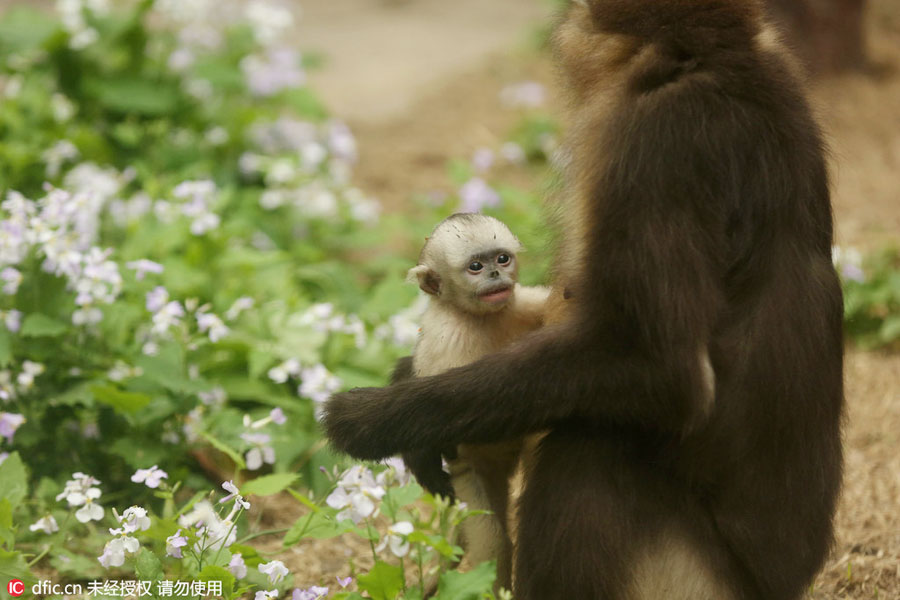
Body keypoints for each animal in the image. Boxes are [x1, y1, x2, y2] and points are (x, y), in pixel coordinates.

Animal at [406, 213, 548, 588]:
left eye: (502, 259)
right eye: (475, 267)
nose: (496, 275)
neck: (478, 318)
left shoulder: (523, 303)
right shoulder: (445, 339)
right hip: (468, 472)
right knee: (494, 538)